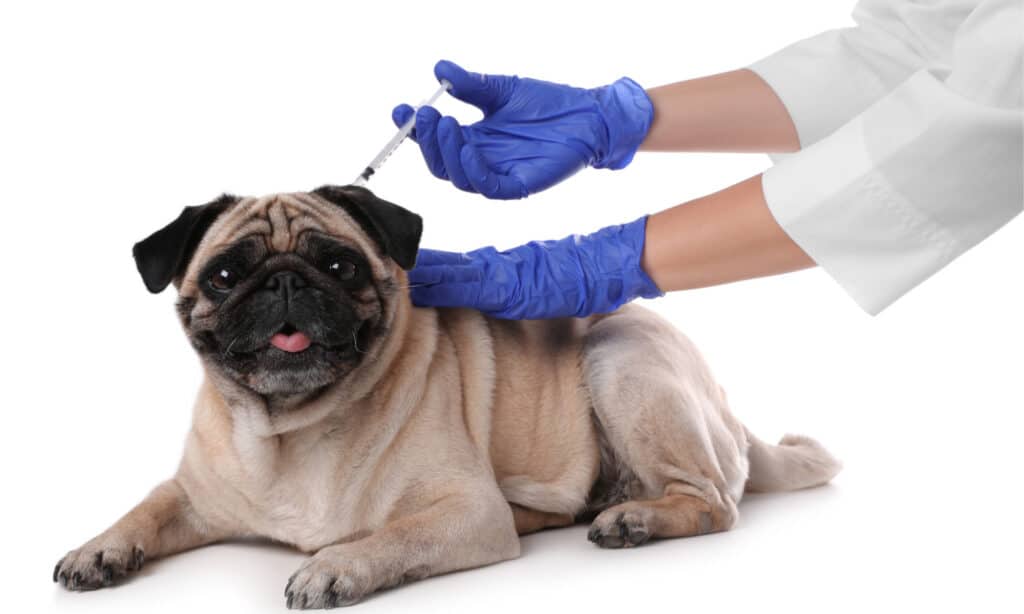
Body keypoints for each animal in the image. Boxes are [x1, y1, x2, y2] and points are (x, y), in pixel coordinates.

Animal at [51, 187, 843, 609]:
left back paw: (636, 519)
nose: (284, 281)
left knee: (713, 502)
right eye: (224, 276)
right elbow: (145, 508)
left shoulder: (466, 511)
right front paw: (98, 549)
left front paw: (336, 565)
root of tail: (733, 417)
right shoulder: (191, 493)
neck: (290, 430)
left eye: (339, 265)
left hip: (621, 354)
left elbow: (395, 537)